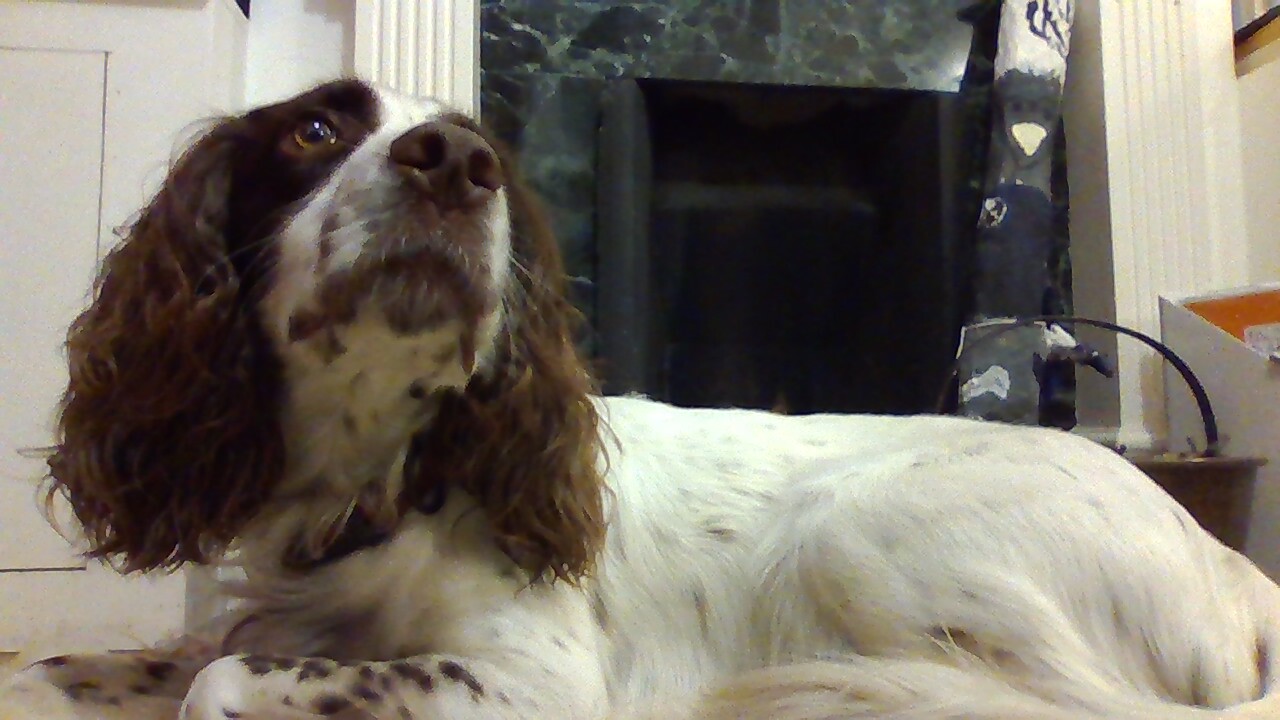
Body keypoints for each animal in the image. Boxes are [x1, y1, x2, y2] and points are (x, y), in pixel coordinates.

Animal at [2, 79, 1279, 719]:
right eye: (315, 129)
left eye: (485, 151)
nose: (452, 164)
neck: (370, 481)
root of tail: (1229, 565)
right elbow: (103, 664)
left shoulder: (536, 680)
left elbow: (216, 683)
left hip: (855, 525)